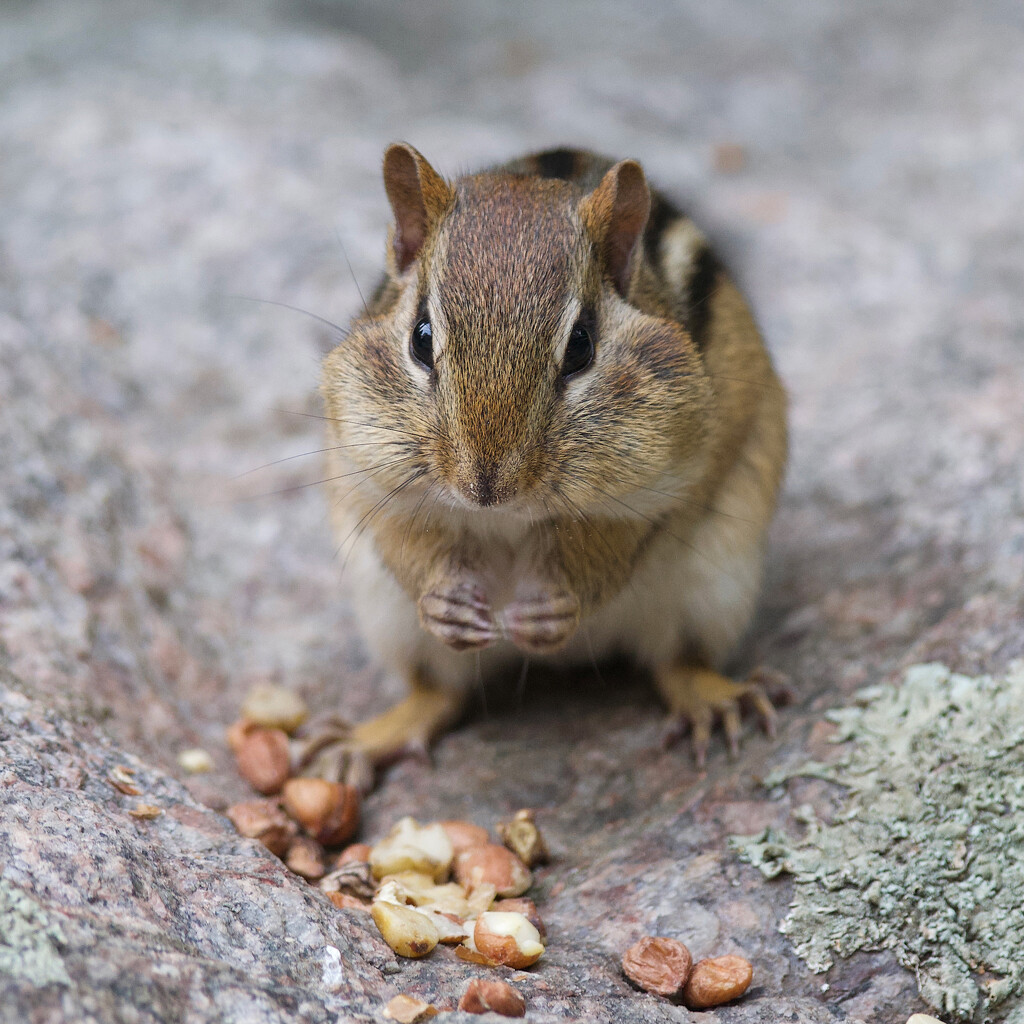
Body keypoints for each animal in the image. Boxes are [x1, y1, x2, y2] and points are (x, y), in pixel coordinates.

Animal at [305, 144, 788, 788]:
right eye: (421, 338)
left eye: (580, 345)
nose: (485, 486)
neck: (506, 517)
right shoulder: (366, 472)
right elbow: (406, 538)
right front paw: (443, 602)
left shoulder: (666, 481)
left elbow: (612, 546)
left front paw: (556, 606)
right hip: (389, 619)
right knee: (439, 693)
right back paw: (364, 740)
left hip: (716, 587)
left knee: (676, 662)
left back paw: (715, 700)